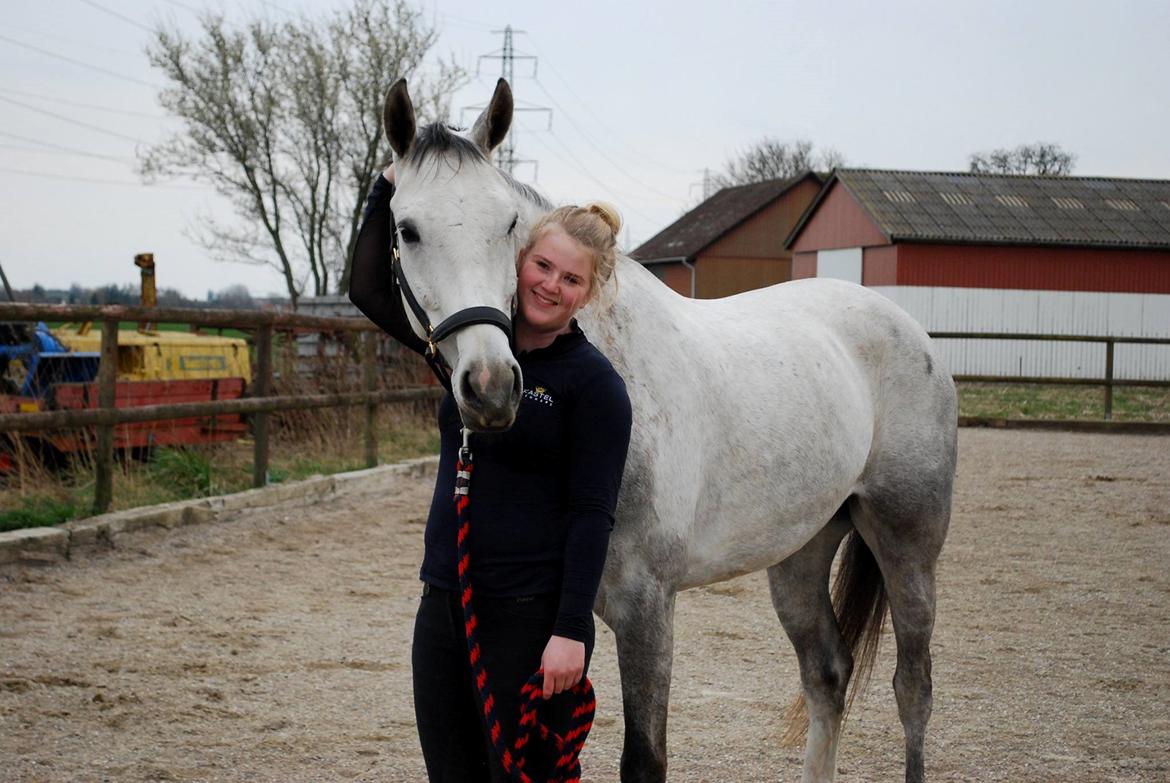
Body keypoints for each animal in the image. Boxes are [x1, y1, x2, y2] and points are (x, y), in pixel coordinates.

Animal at [379, 80, 954, 781]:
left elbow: (644, 759)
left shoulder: (647, 609)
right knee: (827, 673)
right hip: (801, 549)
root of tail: (907, 327)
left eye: (509, 225)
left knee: (913, 687)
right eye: (407, 230)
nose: (490, 388)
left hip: (908, 543)